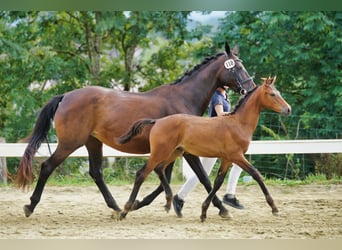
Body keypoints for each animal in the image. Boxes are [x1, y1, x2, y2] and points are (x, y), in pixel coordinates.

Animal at [16, 42, 256, 217]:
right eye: (237, 67)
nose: (252, 88)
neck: (183, 98)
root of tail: (66, 96)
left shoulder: (172, 150)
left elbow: (164, 178)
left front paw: (143, 203)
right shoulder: (186, 151)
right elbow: (202, 178)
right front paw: (222, 209)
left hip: (93, 142)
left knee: (96, 172)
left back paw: (115, 207)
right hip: (70, 142)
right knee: (47, 166)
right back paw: (30, 206)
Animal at [118, 76, 292, 221]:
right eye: (272, 94)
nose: (288, 109)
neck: (238, 123)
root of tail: (157, 121)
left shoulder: (227, 159)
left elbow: (217, 182)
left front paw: (206, 212)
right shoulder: (236, 156)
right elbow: (256, 175)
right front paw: (274, 208)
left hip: (174, 152)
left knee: (159, 169)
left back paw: (168, 202)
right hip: (160, 152)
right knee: (142, 174)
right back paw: (125, 210)